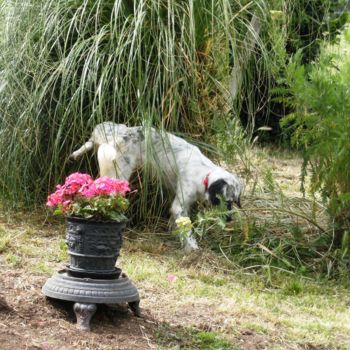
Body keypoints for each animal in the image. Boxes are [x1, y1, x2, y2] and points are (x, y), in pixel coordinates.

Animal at [69, 122, 242, 252]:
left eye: (233, 202)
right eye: (225, 201)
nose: (229, 220)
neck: (203, 173)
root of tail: (121, 131)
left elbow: (175, 222)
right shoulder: (180, 204)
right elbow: (186, 227)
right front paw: (191, 247)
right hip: (117, 176)